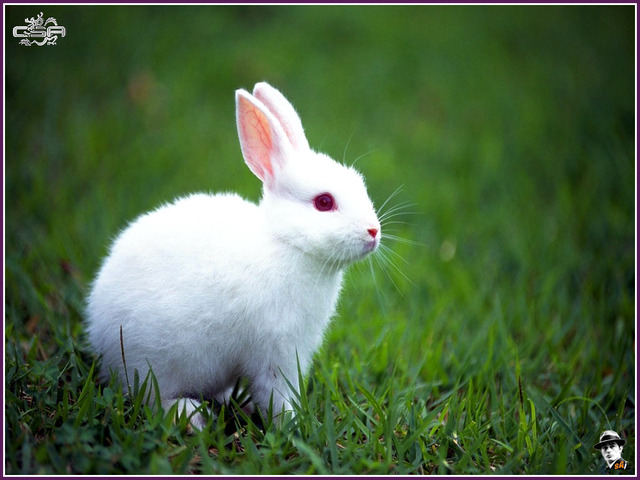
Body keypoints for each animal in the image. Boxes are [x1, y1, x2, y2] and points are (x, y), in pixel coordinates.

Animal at [86, 82, 381, 429]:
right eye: (324, 202)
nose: (373, 231)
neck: (286, 243)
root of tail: (98, 331)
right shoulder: (276, 352)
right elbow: (276, 394)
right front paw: (292, 424)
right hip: (153, 362)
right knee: (152, 398)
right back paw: (192, 416)